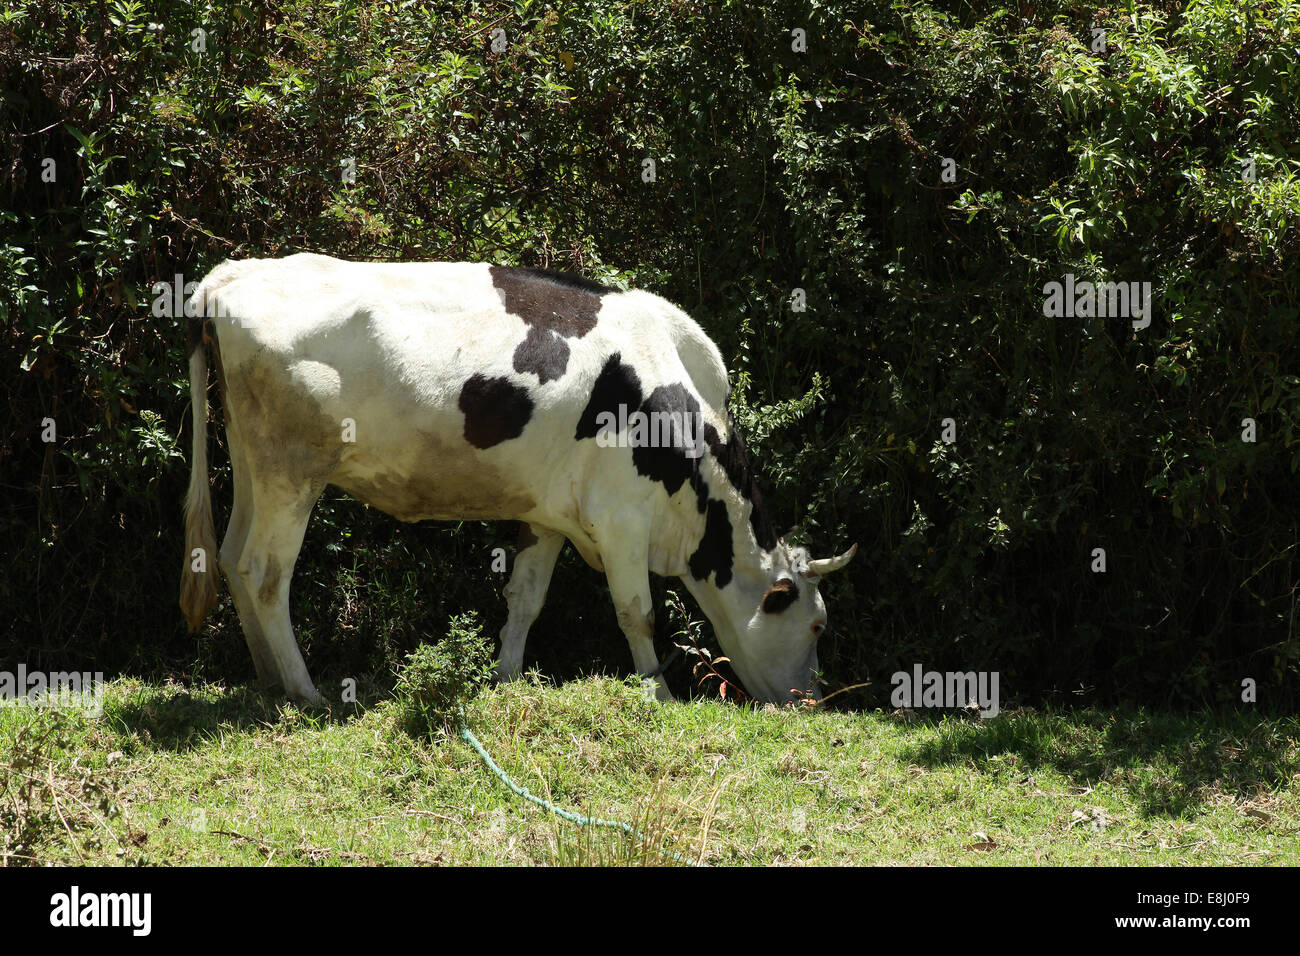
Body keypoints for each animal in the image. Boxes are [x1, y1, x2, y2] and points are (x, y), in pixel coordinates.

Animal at [179, 254, 855, 704]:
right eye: (817, 625)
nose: (810, 702)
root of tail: (231, 276)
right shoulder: (622, 519)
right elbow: (636, 612)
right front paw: (657, 695)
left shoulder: (548, 512)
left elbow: (525, 598)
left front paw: (506, 679)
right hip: (291, 470)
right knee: (264, 572)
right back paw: (305, 692)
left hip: (250, 460)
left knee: (232, 555)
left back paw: (268, 682)